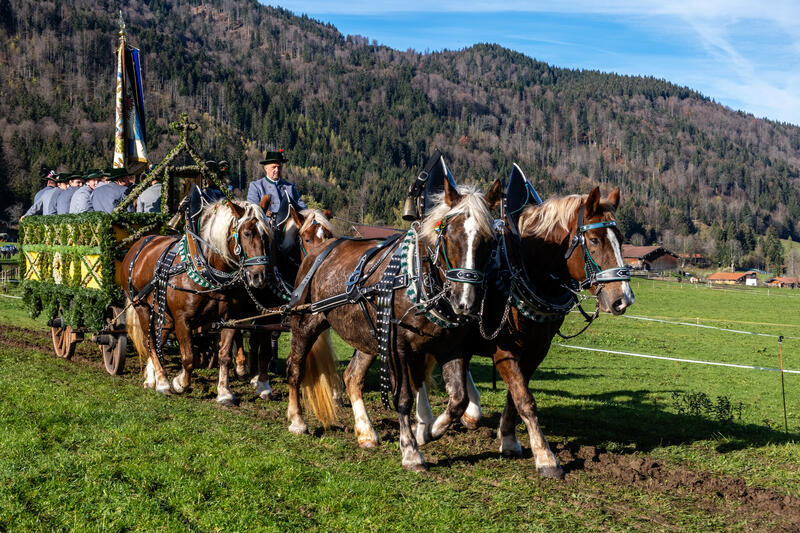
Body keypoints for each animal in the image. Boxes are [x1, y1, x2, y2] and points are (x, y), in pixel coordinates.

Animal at [121, 195, 278, 404]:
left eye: (267, 235)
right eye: (246, 233)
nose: (259, 277)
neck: (207, 269)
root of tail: (142, 242)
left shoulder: (230, 319)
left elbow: (224, 356)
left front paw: (224, 392)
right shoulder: (182, 319)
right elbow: (188, 358)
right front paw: (179, 383)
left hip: (164, 313)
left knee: (158, 337)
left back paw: (151, 378)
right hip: (141, 306)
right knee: (150, 342)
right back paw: (162, 382)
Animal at [288, 180, 500, 470]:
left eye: (489, 240)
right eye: (449, 235)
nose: (465, 302)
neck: (419, 277)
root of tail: (319, 252)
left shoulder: (451, 348)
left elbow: (458, 400)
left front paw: (428, 431)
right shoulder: (396, 347)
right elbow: (403, 398)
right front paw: (411, 451)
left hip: (367, 336)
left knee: (352, 376)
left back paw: (366, 432)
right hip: (306, 322)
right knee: (295, 368)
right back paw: (297, 420)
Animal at [346, 185, 636, 476]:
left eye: (621, 240)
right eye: (595, 240)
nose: (623, 299)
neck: (523, 269)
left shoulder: (535, 351)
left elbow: (515, 397)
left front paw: (508, 438)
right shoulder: (503, 351)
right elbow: (524, 400)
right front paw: (545, 457)